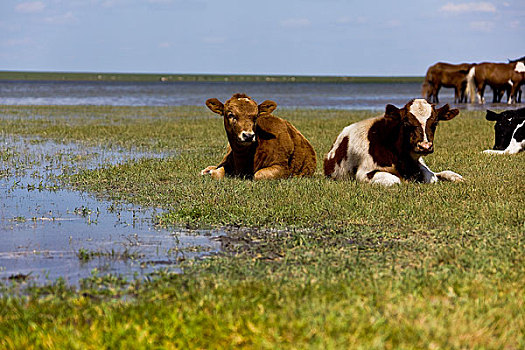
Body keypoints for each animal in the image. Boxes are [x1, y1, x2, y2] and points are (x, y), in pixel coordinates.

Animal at [324, 98, 462, 186]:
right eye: (406, 122)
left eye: (435, 123)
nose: (425, 146)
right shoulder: (363, 173)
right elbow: (395, 181)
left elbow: (431, 177)